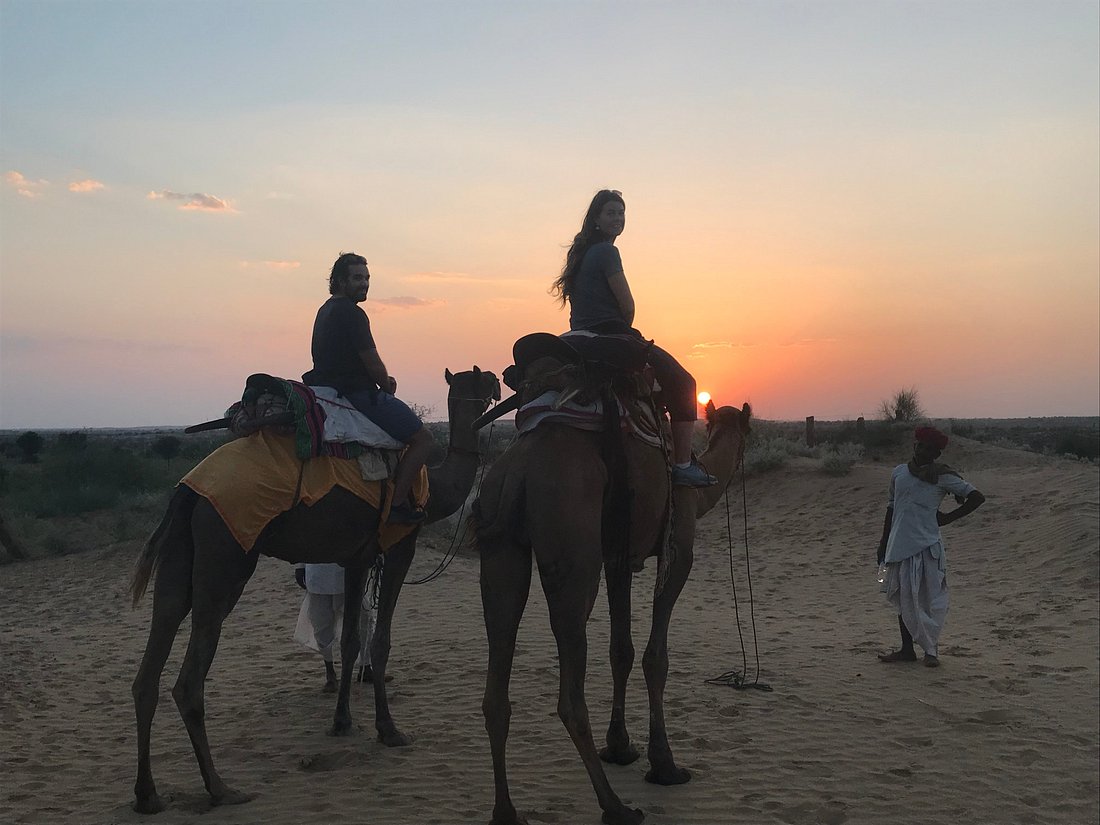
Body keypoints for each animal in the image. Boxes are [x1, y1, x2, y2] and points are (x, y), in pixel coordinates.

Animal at [129, 367, 503, 814]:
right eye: (481, 380)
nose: (499, 384)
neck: (433, 492)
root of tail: (187, 491)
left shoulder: (358, 557)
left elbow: (350, 639)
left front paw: (342, 722)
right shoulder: (400, 546)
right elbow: (380, 641)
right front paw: (389, 729)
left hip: (181, 554)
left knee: (151, 660)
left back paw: (147, 794)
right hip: (226, 549)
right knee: (189, 677)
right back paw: (221, 789)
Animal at [468, 398, 752, 822]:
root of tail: (518, 470)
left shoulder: (619, 558)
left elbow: (621, 651)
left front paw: (620, 747)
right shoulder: (678, 551)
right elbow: (655, 658)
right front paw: (665, 765)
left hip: (501, 546)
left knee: (498, 673)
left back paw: (506, 812)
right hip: (573, 543)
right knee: (570, 691)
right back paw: (616, 806)